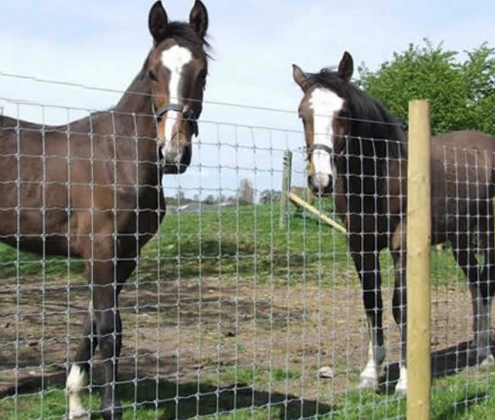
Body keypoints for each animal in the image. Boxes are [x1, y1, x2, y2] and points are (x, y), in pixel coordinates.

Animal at [0, 1, 209, 418]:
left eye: (203, 72)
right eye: (152, 71)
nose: (173, 153)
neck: (118, 158)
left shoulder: (124, 256)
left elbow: (95, 324)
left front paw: (77, 402)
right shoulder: (101, 253)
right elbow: (111, 330)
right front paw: (110, 408)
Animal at [292, 50, 494, 396]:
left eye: (343, 111)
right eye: (302, 114)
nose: (321, 181)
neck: (383, 171)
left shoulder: (403, 243)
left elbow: (402, 306)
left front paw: (405, 381)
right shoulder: (360, 243)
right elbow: (372, 303)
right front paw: (370, 374)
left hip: (488, 233)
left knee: (489, 284)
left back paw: (488, 355)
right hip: (460, 239)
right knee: (478, 286)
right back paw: (480, 352)